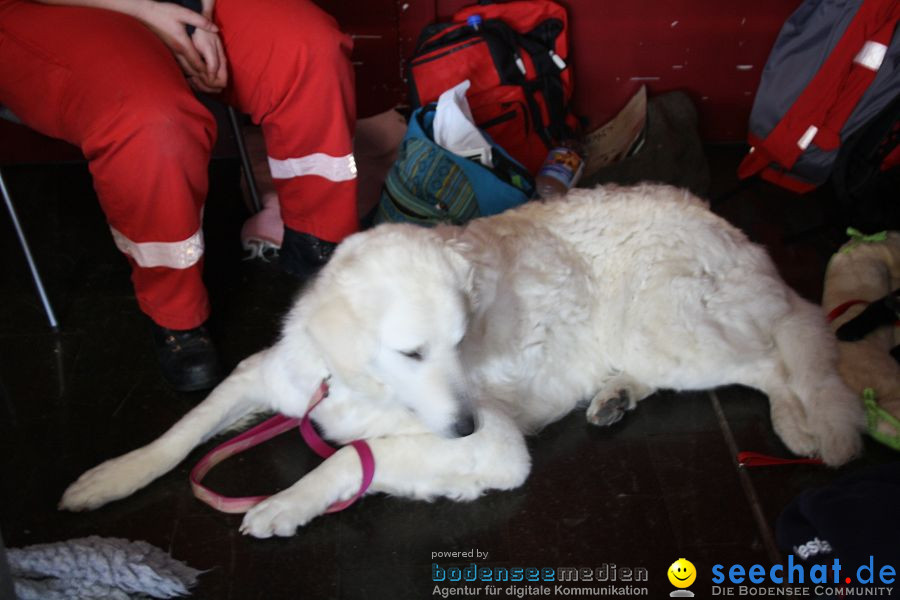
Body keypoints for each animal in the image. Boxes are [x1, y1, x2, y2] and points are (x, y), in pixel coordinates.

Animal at [59, 185, 860, 536]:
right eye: (413, 352)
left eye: (461, 340)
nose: (467, 424)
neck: (356, 385)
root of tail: (716, 216)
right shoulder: (265, 375)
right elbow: (185, 430)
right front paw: (110, 476)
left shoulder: (496, 449)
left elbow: (353, 458)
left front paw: (287, 504)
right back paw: (615, 396)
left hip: (665, 328)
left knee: (782, 351)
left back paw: (804, 425)